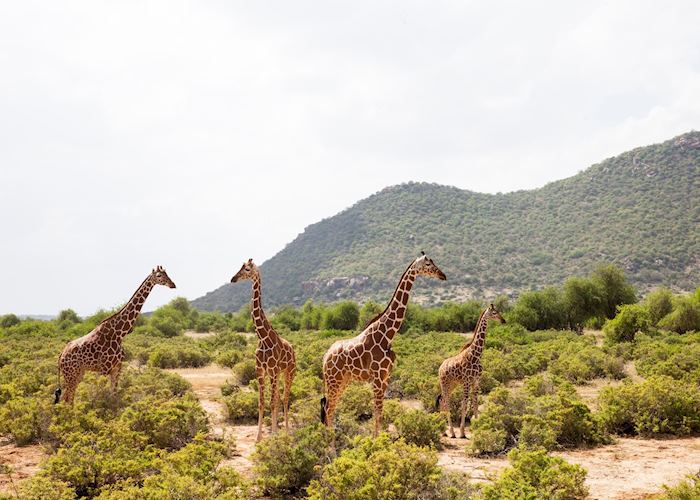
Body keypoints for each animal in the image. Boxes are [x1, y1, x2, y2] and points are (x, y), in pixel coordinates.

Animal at [55, 266, 176, 404]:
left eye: (167, 273)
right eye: (159, 275)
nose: (173, 284)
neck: (119, 333)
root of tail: (61, 356)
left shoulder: (117, 368)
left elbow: (113, 395)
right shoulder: (104, 368)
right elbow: (101, 397)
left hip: (78, 373)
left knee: (67, 398)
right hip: (70, 374)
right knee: (67, 399)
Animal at [231, 259, 296, 442]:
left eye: (247, 269)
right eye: (239, 267)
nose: (233, 279)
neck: (263, 338)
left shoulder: (272, 371)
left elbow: (272, 402)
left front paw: (273, 435)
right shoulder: (260, 371)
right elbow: (261, 402)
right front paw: (258, 437)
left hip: (289, 372)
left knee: (285, 398)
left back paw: (286, 431)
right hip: (278, 374)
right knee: (280, 397)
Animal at [321, 252, 447, 437]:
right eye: (429, 264)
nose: (443, 275)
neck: (387, 334)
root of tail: (325, 357)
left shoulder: (386, 377)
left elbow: (381, 411)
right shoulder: (378, 378)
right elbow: (377, 411)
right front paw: (376, 441)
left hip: (343, 380)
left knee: (330, 408)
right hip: (333, 380)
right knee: (329, 409)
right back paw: (329, 442)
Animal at [436, 304, 505, 438]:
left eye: (498, 311)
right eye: (494, 313)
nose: (503, 320)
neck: (476, 356)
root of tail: (440, 367)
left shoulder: (476, 381)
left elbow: (475, 403)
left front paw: (478, 427)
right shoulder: (467, 381)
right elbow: (464, 403)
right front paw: (462, 432)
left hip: (452, 384)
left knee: (442, 401)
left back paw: (444, 431)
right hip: (444, 383)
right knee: (446, 402)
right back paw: (451, 432)